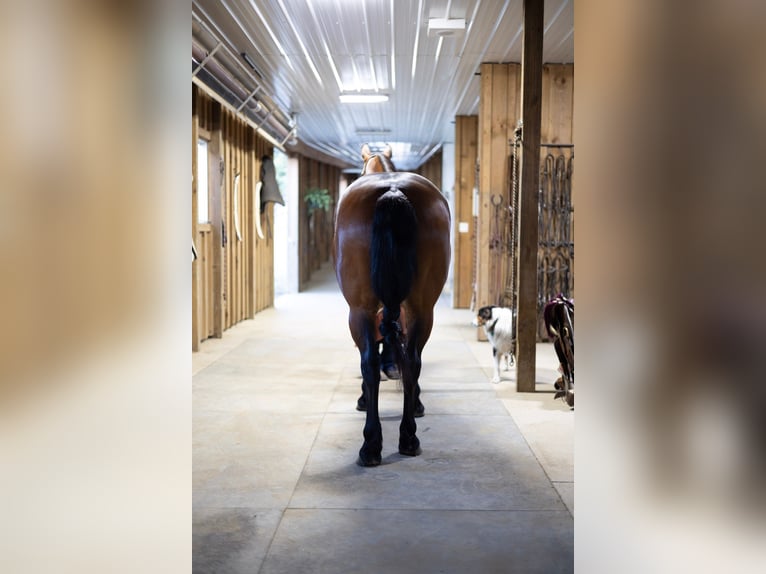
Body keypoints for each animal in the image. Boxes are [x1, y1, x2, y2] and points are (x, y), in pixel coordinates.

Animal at [333, 143, 451, 467]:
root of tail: (393, 191)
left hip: (359, 309)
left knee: (369, 363)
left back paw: (371, 444)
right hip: (423, 307)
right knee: (412, 360)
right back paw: (408, 437)